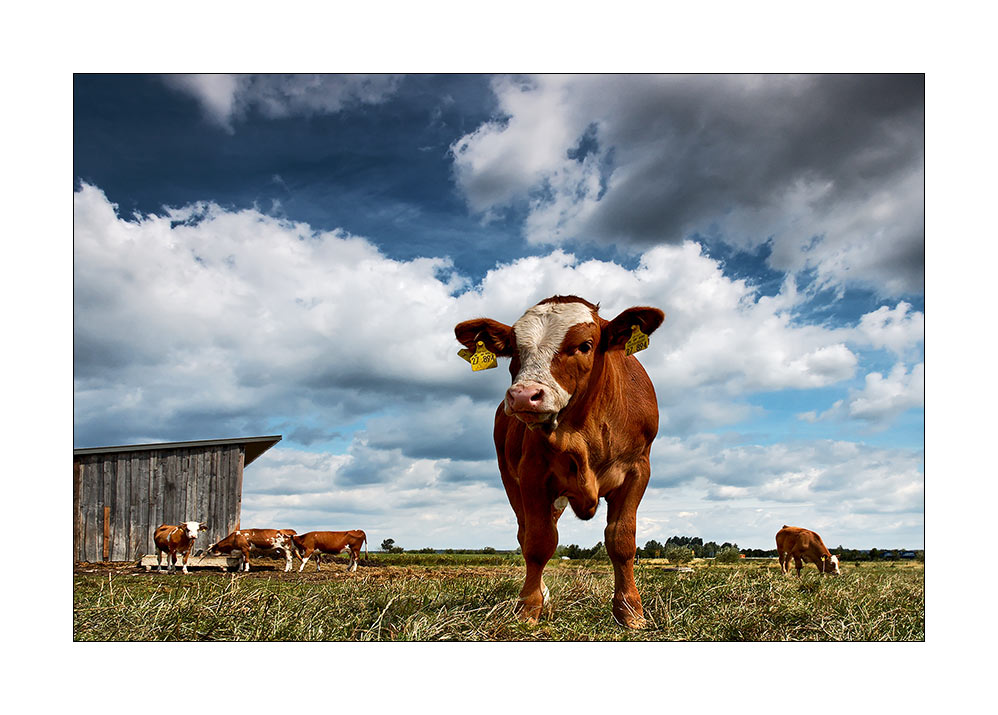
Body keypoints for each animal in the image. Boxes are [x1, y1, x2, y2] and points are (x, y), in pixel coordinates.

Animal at [458, 294, 664, 628]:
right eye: (514, 348)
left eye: (585, 345)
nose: (524, 395)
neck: (582, 432)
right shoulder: (532, 474)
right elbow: (538, 543)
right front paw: (528, 608)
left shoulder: (637, 470)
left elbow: (621, 540)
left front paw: (630, 612)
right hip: (511, 480)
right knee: (526, 532)